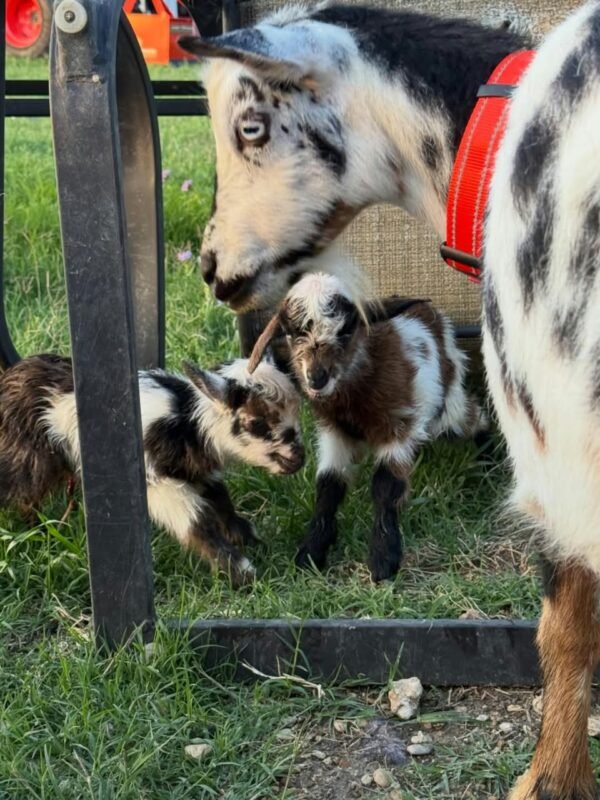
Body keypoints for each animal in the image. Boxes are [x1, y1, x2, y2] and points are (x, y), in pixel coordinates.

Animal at [0, 354, 304, 585]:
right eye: (256, 422)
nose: (298, 458)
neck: (185, 422)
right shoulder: (156, 482)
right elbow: (195, 521)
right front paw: (242, 573)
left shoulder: (195, 470)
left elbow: (222, 503)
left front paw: (251, 540)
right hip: (27, 455)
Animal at [248, 273, 488, 581]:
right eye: (290, 333)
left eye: (346, 330)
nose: (316, 378)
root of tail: (434, 315)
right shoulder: (334, 433)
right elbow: (328, 486)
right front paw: (312, 550)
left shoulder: (397, 425)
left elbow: (386, 486)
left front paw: (384, 559)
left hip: (447, 409)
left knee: (474, 416)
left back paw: (487, 457)